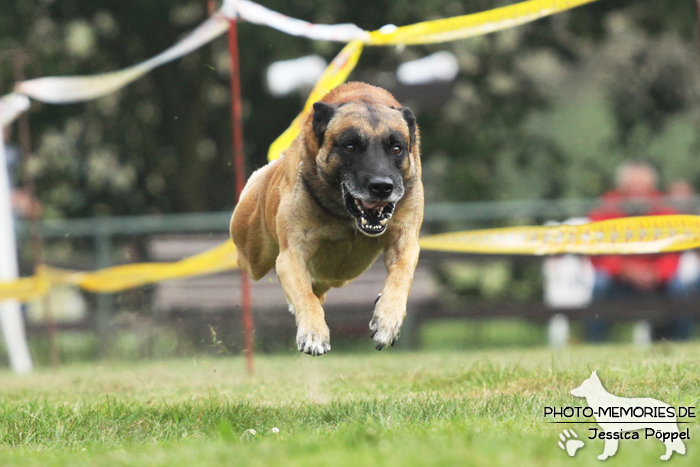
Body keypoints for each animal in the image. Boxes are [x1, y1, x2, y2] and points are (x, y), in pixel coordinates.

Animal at [232, 82, 424, 356]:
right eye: (350, 146)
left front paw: (387, 320)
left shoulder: (405, 241)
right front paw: (313, 333)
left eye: (396, 148)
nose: (382, 187)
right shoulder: (291, 254)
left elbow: (401, 274)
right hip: (253, 254)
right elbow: (304, 295)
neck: (348, 218)